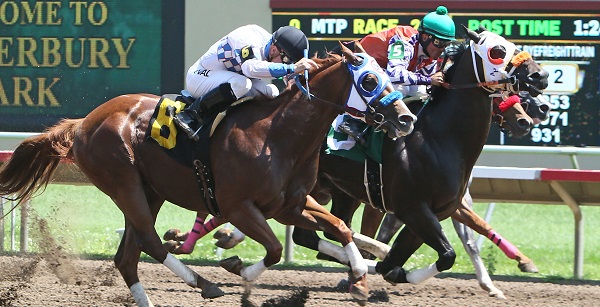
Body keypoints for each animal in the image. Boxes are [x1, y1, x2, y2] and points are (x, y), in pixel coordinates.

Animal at [0, 45, 414, 307]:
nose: (406, 119)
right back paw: (205, 283)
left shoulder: (290, 206)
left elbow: (340, 228)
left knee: (128, 257)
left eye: (387, 75)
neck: (279, 135)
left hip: (150, 190)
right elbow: (274, 249)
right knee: (150, 242)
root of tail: (84, 121)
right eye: (369, 81)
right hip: (123, 182)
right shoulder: (238, 207)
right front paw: (240, 271)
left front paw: (360, 278)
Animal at [292, 26, 548, 286]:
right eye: (497, 51)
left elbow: (418, 256)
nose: (541, 75)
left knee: (314, 233)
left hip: (341, 192)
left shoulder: (433, 212)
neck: (438, 138)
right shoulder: (412, 209)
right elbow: (445, 255)